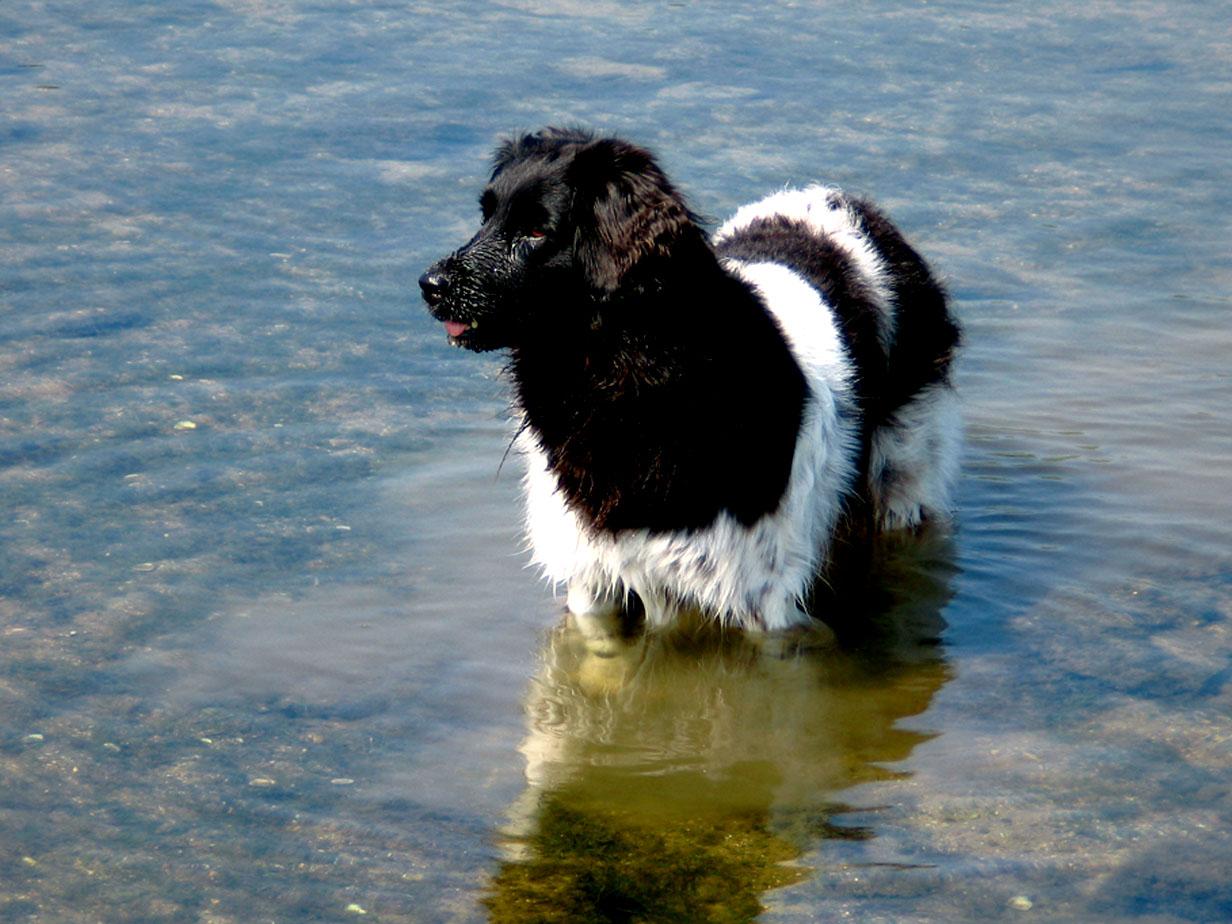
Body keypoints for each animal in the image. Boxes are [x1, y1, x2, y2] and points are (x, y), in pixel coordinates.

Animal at [418, 126, 956, 635]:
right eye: (485, 216)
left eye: (535, 231)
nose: (430, 285)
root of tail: (850, 204)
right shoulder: (592, 576)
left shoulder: (761, 600)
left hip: (903, 472)